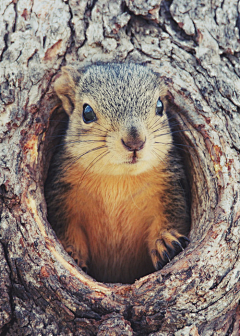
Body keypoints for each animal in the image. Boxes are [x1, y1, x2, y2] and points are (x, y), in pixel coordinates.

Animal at [45, 63, 190, 284]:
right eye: (87, 112)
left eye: (160, 106)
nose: (135, 141)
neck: (118, 178)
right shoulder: (62, 197)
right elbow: (67, 228)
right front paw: (71, 251)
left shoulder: (170, 189)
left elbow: (172, 217)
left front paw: (165, 241)